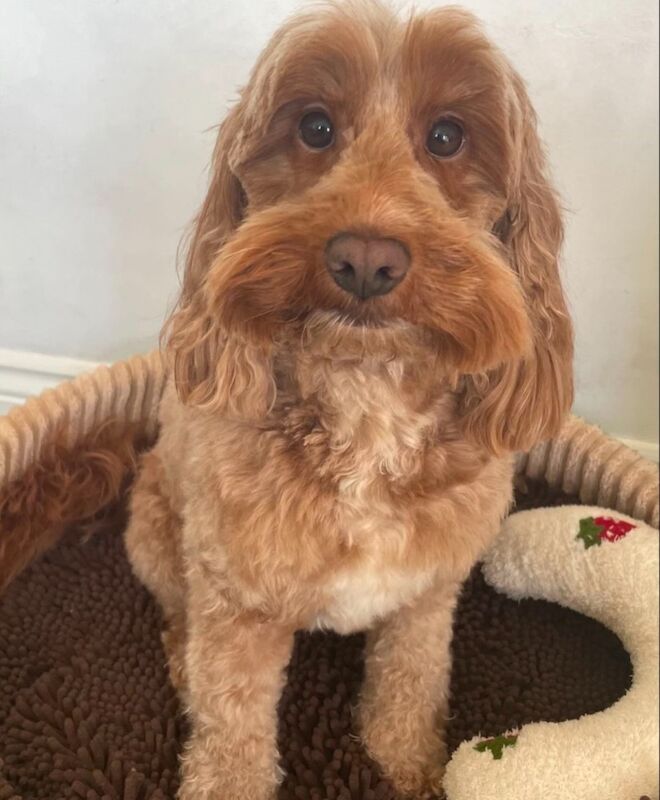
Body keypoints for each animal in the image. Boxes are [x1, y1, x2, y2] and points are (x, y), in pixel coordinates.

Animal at [122, 3, 572, 796]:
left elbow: (411, 681)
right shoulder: (236, 603)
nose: (365, 257)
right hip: (153, 533)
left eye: (447, 136)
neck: (366, 400)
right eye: (315, 127)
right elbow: (231, 730)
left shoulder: (427, 591)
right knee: (178, 615)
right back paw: (179, 658)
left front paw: (408, 766)